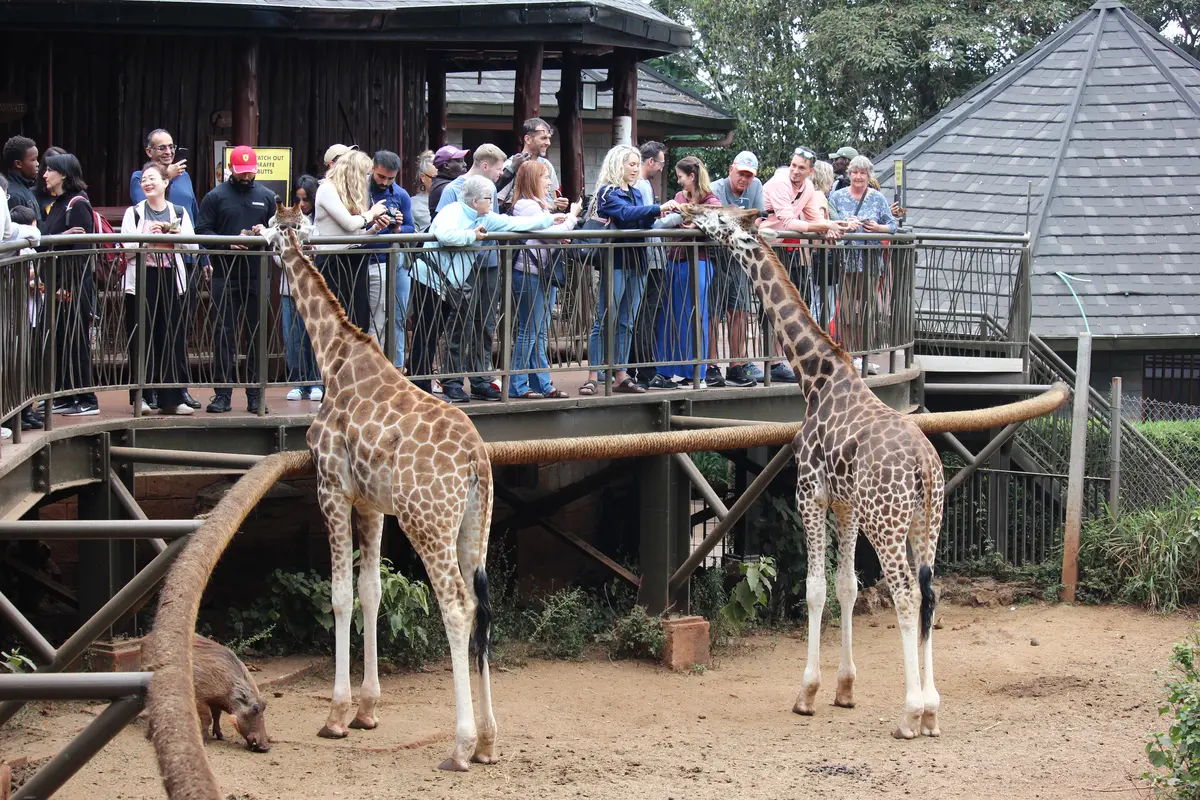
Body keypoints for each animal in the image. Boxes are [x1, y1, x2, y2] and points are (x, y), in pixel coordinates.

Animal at [260, 202, 497, 771]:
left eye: (274, 231)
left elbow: (341, 596)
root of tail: (476, 460)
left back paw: (459, 747)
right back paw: (487, 743)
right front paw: (366, 711)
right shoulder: (369, 504)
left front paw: (335, 716)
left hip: (427, 522)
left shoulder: (330, 488)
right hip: (473, 527)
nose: (255, 240)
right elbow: (371, 592)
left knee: (457, 606)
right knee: (483, 608)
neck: (334, 356)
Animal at [680, 204, 942, 740]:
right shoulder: (846, 505)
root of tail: (926, 466)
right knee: (931, 594)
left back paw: (909, 715)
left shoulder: (810, 494)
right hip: (925, 523)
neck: (814, 376)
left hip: (888, 524)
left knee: (907, 596)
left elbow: (815, 588)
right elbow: (848, 587)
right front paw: (845, 689)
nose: (689, 209)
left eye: (720, 217)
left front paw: (807, 693)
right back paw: (931, 711)